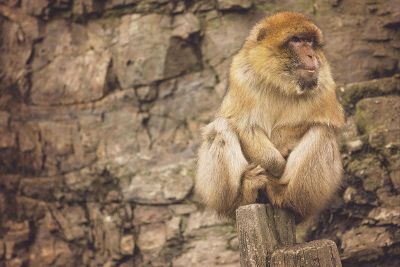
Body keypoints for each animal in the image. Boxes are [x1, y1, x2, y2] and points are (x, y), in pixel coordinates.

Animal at [194, 12, 344, 222]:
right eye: (296, 40)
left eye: (311, 42)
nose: (312, 55)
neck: (279, 82)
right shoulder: (242, 75)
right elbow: (244, 126)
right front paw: (276, 163)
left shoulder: (323, 79)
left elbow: (324, 122)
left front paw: (282, 144)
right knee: (221, 127)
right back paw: (243, 194)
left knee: (322, 131)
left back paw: (286, 197)